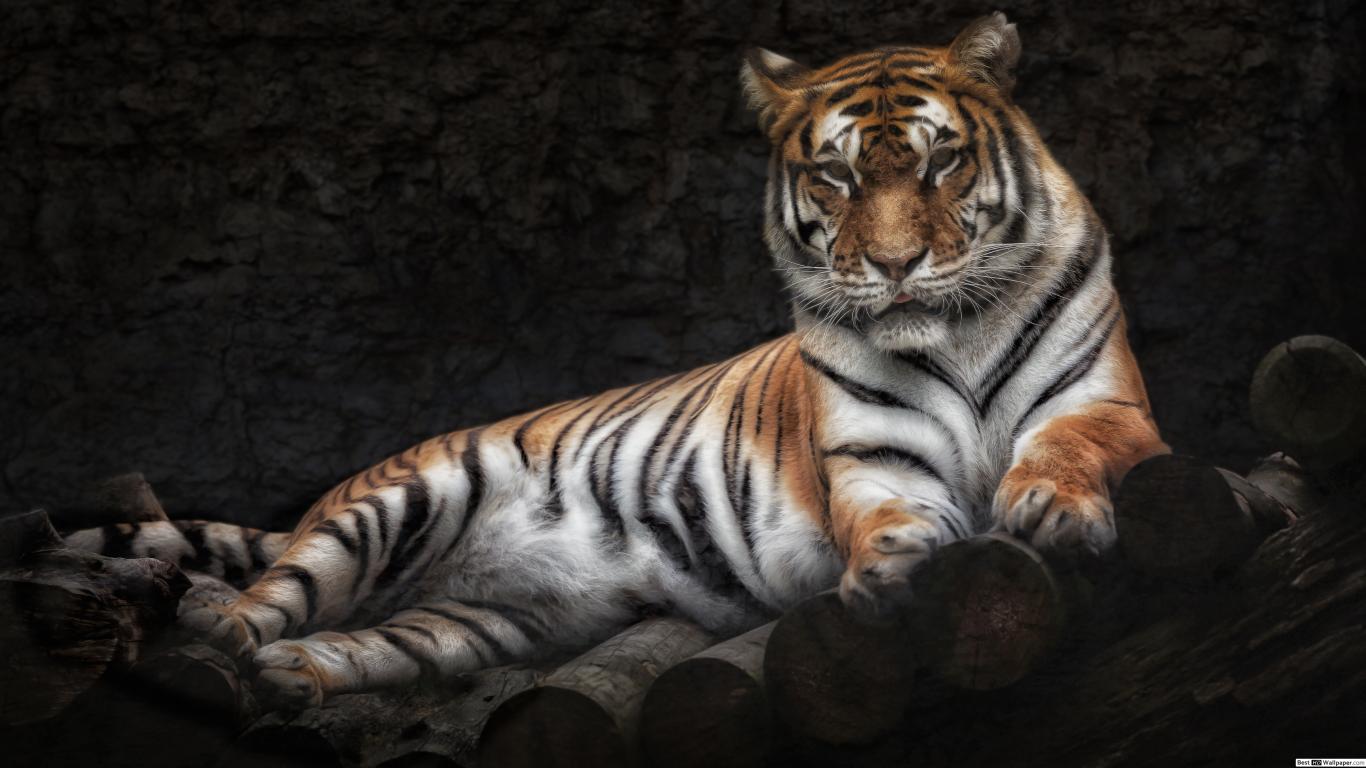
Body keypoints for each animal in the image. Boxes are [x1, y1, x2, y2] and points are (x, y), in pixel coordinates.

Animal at [66, 13, 1167, 707]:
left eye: (941, 160)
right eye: (835, 175)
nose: (896, 266)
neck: (956, 329)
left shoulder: (1109, 407)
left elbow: (1067, 448)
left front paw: (1049, 505)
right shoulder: (871, 458)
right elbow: (889, 512)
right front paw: (896, 563)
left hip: (475, 623)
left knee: (356, 639)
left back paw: (294, 678)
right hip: (392, 507)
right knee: (261, 603)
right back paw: (213, 658)